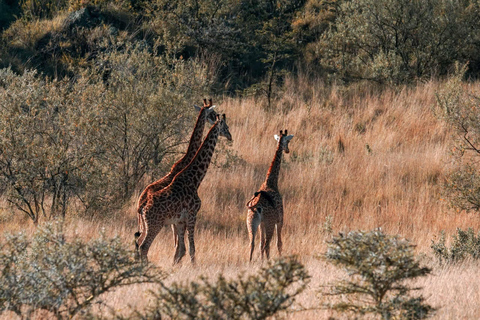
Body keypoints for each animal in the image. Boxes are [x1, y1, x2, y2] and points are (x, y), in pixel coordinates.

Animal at [248, 129, 292, 262]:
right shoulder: (280, 220)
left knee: (252, 243)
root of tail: (257, 207)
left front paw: (262, 261)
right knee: (267, 244)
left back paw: (250, 262)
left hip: (251, 222)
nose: (287, 150)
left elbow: (260, 244)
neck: (271, 182)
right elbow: (279, 243)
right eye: (288, 141)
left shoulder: (261, 224)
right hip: (270, 223)